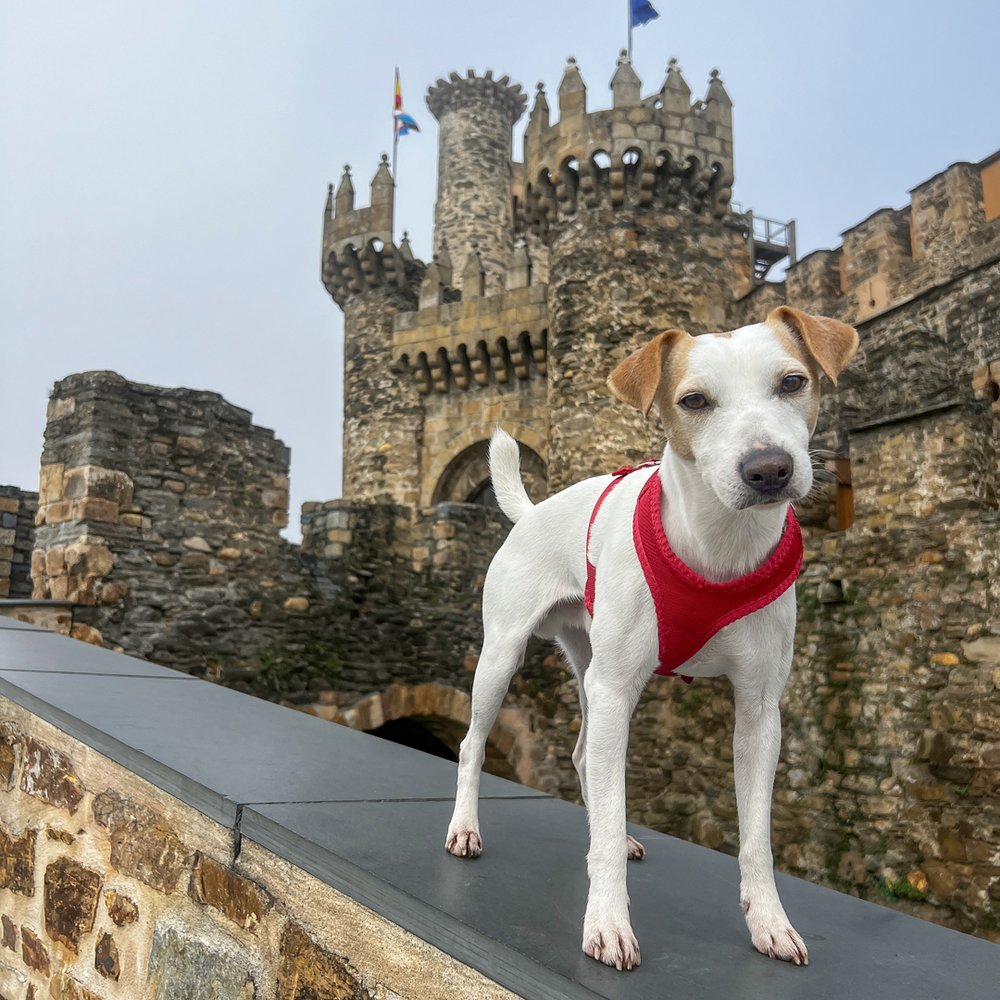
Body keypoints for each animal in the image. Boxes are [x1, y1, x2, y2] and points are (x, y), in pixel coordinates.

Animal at [446, 306, 860, 968]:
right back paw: (465, 829)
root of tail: (532, 511)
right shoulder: (616, 687)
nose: (768, 468)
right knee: (472, 744)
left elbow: (756, 837)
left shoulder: (759, 712)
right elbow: (606, 823)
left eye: (793, 382)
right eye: (693, 400)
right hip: (504, 658)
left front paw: (769, 921)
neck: (717, 547)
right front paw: (608, 921)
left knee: (584, 755)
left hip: (588, 668)